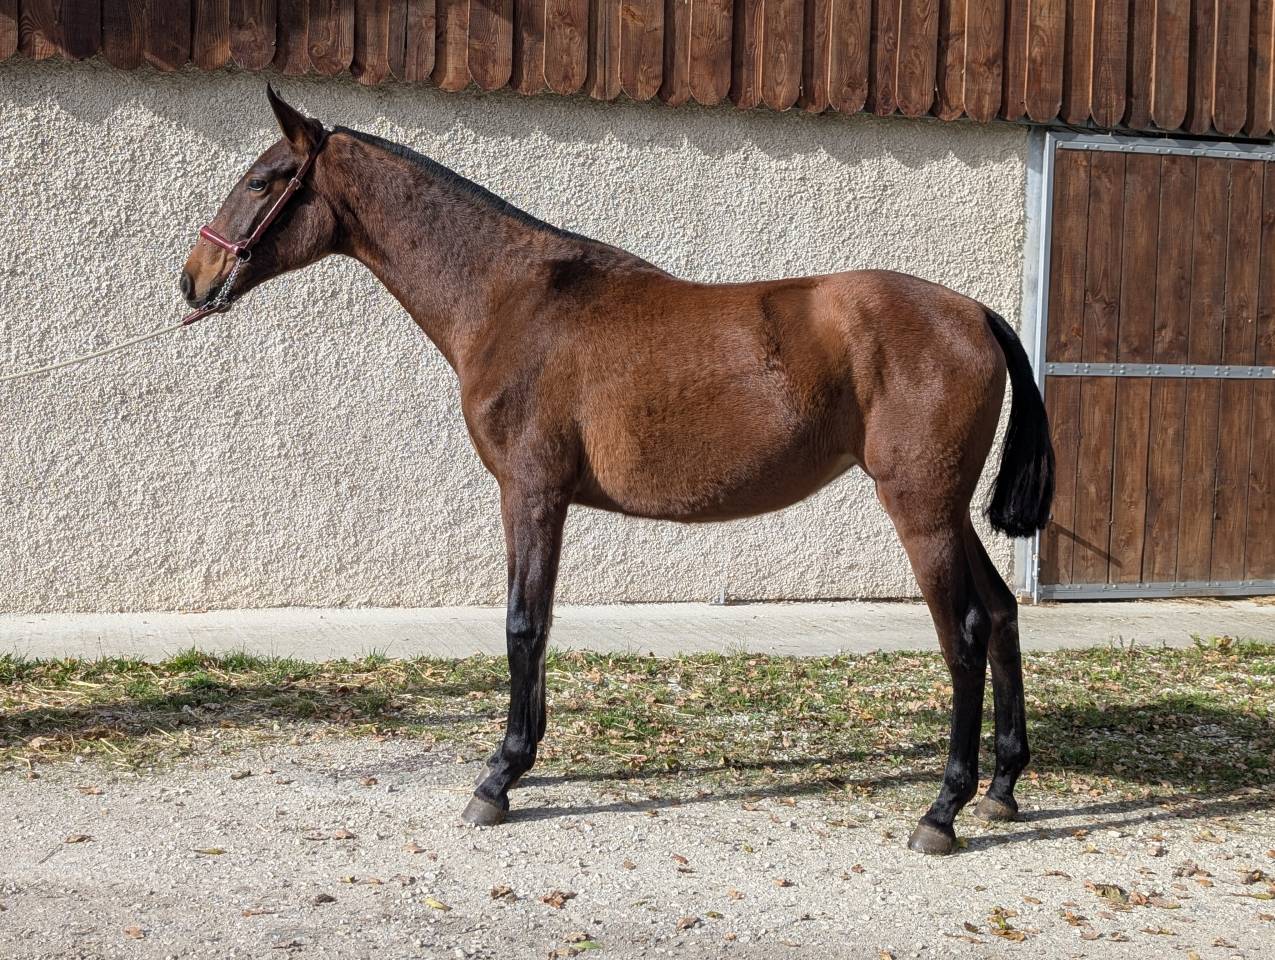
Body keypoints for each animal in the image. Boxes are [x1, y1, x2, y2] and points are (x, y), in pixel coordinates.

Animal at [182, 87, 1054, 855]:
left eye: (261, 180)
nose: (191, 279)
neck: (512, 300)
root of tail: (974, 312)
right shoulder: (548, 499)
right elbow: (538, 623)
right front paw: (521, 760)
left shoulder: (530, 492)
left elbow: (522, 624)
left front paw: (498, 779)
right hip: (946, 510)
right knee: (1001, 613)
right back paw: (1003, 787)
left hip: (919, 509)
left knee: (963, 632)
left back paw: (942, 809)